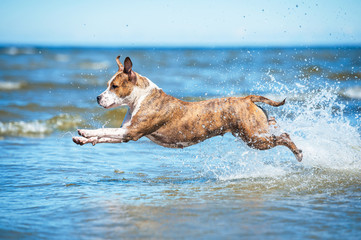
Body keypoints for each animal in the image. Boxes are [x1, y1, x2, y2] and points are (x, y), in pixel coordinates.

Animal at [72, 56, 300, 161]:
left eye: (115, 86)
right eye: (108, 84)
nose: (98, 97)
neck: (141, 98)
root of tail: (246, 99)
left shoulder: (132, 132)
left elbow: (104, 130)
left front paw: (85, 132)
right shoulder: (125, 133)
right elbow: (104, 136)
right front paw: (83, 139)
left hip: (255, 138)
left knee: (284, 136)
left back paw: (298, 153)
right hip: (254, 131)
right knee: (273, 125)